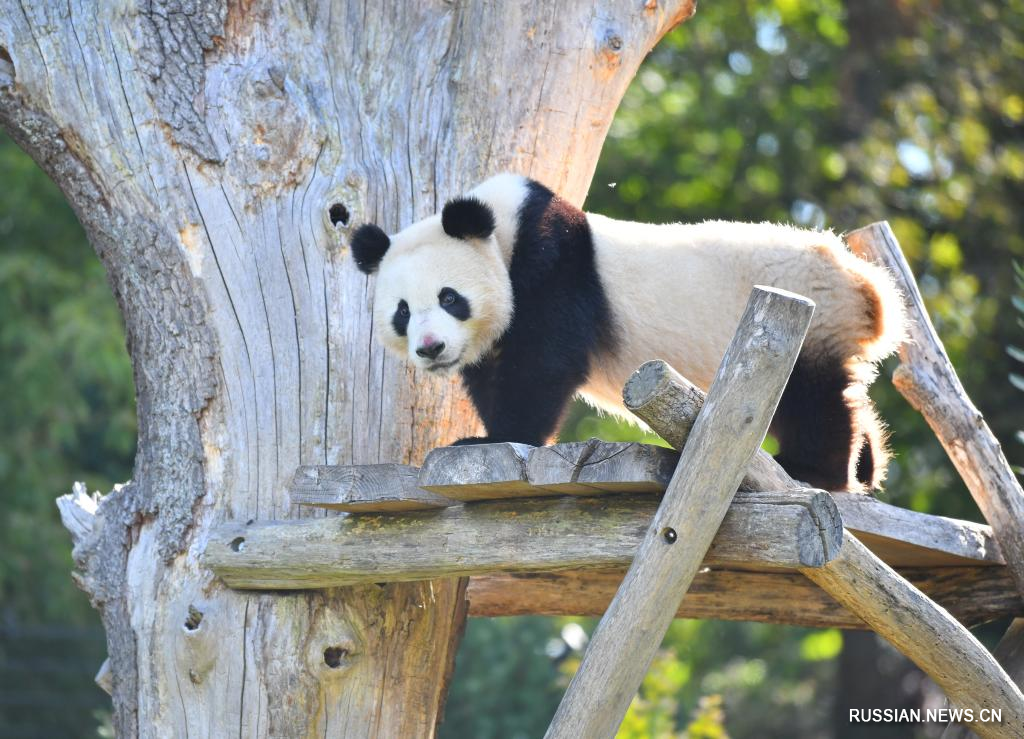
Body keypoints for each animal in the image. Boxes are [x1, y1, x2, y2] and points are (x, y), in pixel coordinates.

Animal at [350, 174, 905, 489]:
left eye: (450, 298)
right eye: (402, 312)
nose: (431, 348)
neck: (503, 230)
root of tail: (864, 286)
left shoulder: (554, 266)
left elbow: (543, 363)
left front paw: (497, 440)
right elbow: (495, 371)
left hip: (803, 324)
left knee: (813, 399)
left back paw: (816, 470)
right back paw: (865, 466)